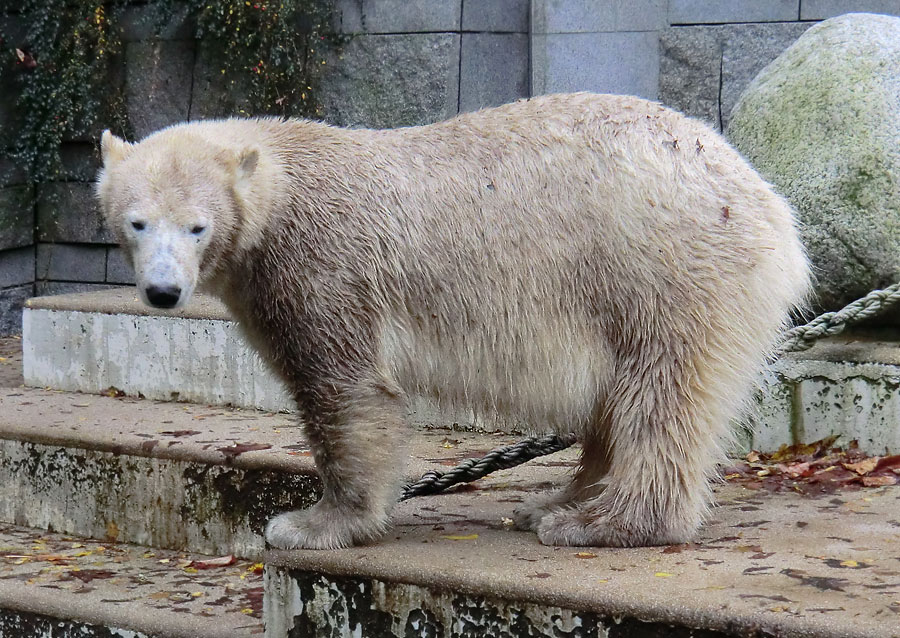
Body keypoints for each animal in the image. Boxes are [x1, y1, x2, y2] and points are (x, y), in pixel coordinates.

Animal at [96, 92, 808, 552]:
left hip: (659, 264)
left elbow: (345, 390)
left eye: (197, 226)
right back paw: (555, 501)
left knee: (661, 392)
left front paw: (311, 524)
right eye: (137, 222)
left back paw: (601, 524)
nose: (163, 291)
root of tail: (769, 205)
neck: (282, 186)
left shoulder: (323, 264)